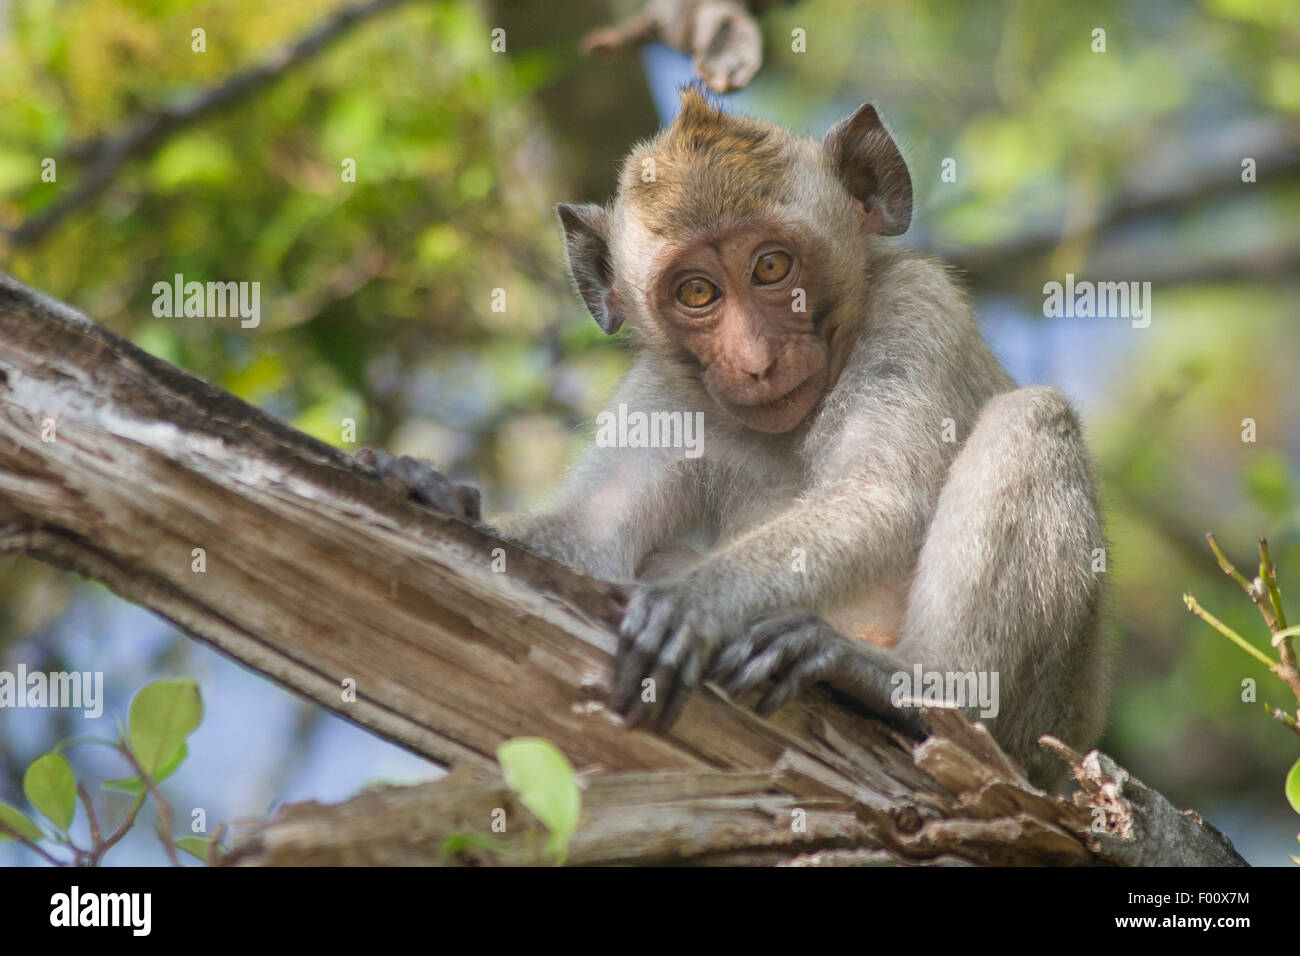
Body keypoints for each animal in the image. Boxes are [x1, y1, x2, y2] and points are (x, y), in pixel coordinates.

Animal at [359, 88, 1109, 788]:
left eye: (773, 268)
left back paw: (916, 688)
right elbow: (589, 538)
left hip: (1050, 719)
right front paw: (428, 489)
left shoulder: (917, 309)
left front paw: (699, 602)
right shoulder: (665, 394)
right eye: (697, 292)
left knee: (1032, 417)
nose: (755, 361)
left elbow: (883, 496)